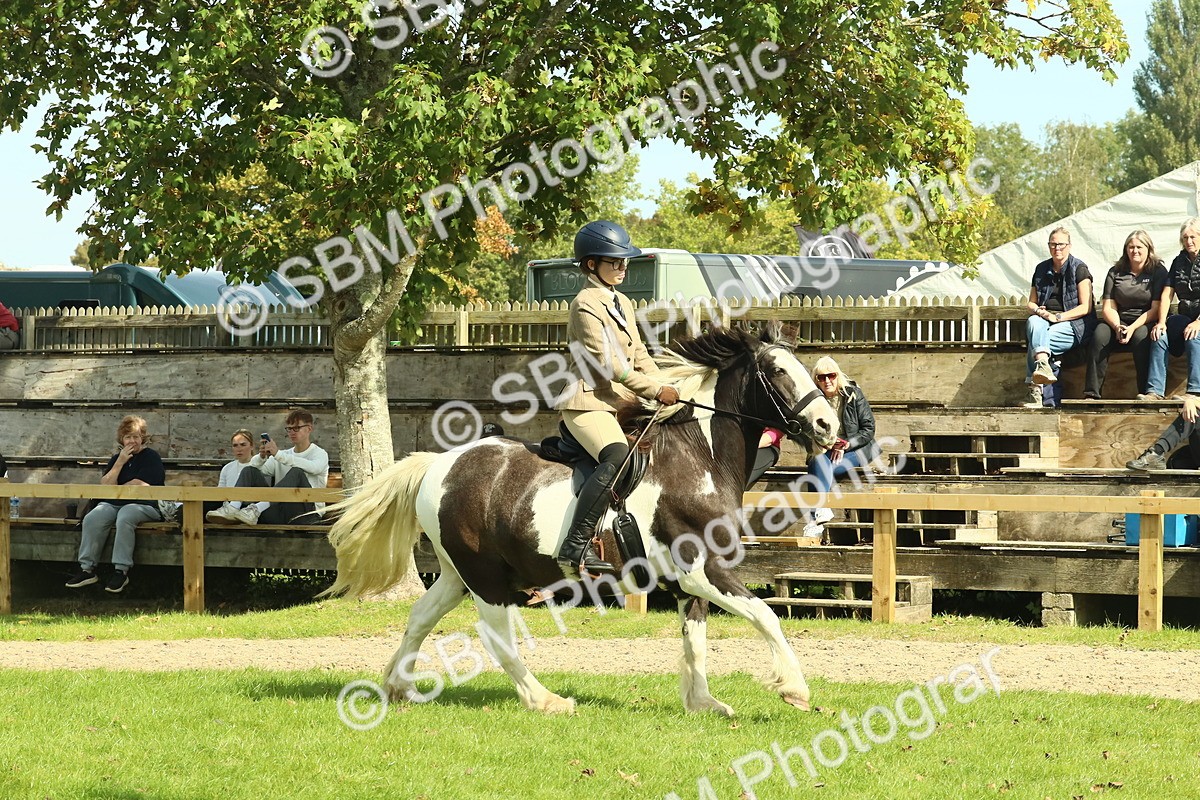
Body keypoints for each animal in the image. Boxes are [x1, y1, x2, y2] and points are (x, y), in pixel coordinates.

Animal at [322, 326, 840, 716]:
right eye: (778, 371)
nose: (828, 427)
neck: (700, 457)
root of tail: (439, 464)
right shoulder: (701, 569)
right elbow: (766, 615)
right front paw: (794, 689)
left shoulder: (688, 580)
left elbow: (694, 639)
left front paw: (702, 703)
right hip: (486, 578)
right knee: (497, 637)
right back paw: (545, 700)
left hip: (458, 573)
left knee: (420, 617)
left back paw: (397, 686)